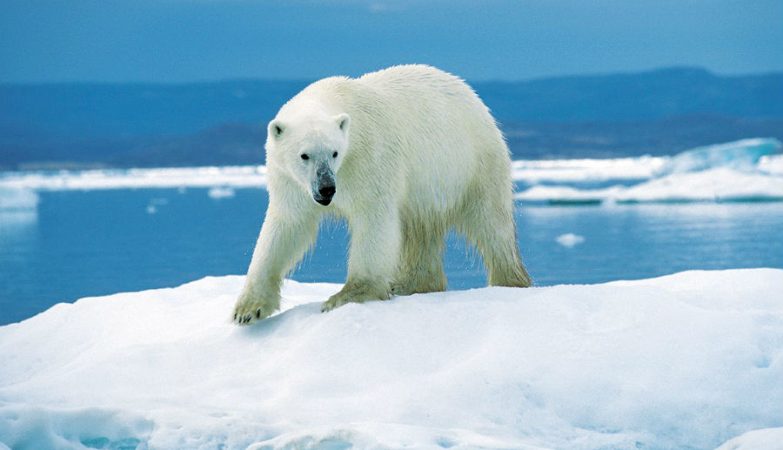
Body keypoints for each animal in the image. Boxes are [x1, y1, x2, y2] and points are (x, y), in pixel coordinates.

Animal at [233, 64, 531, 324]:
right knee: (419, 231)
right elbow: (287, 227)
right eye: (304, 155)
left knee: (491, 224)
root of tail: (473, 97)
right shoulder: (290, 182)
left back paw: (509, 280)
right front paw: (247, 310)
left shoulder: (369, 158)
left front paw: (346, 296)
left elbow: (373, 220)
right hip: (426, 190)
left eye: (334, 152)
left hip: (471, 163)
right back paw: (411, 283)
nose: (327, 188)